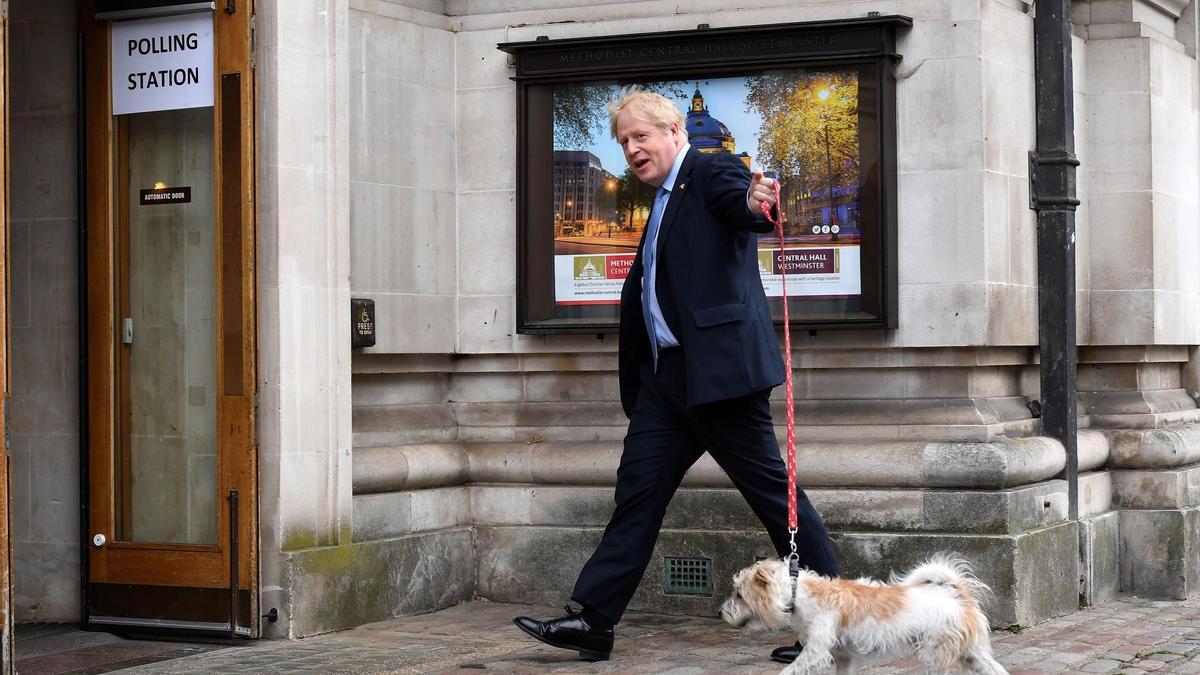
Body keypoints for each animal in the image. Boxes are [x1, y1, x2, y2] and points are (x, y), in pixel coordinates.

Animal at [715, 552, 1008, 672]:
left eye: (739, 594)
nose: (720, 613)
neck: (801, 592)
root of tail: (960, 597)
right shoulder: (845, 657)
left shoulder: (815, 652)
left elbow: (790, 671)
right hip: (974, 654)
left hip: (938, 654)